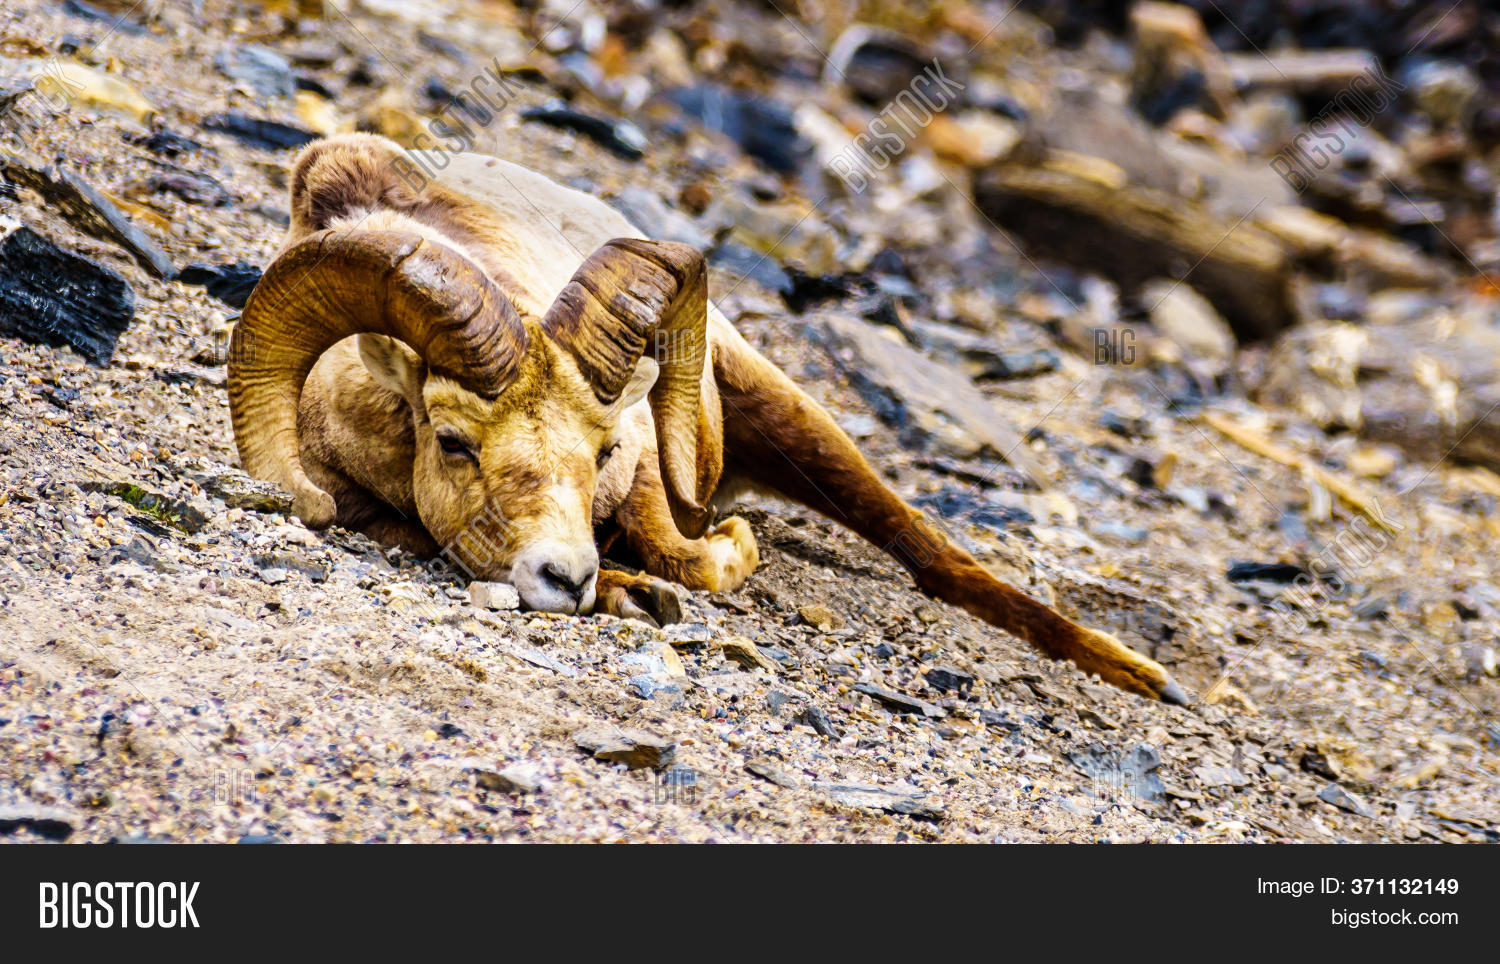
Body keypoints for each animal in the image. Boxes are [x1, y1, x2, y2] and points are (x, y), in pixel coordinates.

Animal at [226, 133, 1187, 703]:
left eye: (607, 447)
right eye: (453, 441)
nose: (562, 577)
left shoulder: (655, 473)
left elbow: (687, 553)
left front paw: (704, 558)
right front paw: (624, 591)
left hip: (788, 412)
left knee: (932, 555)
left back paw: (1150, 679)